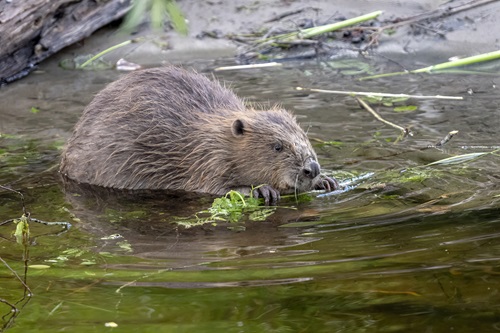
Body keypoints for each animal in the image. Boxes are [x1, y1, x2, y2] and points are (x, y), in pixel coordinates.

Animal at [60, 66, 338, 204]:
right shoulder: (206, 160)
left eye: (304, 137)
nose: (311, 169)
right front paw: (263, 191)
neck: (218, 137)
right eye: (277, 146)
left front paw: (328, 181)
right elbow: (212, 187)